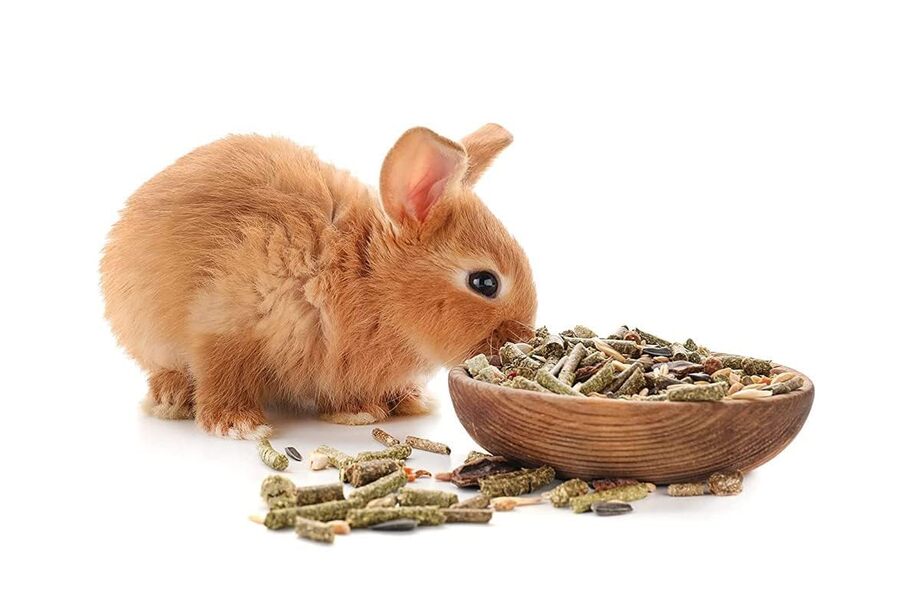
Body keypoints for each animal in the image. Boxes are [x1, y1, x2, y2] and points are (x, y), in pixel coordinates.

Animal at [101, 124, 537, 439]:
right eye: (485, 282)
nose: (523, 338)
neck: (368, 277)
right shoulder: (227, 320)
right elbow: (223, 373)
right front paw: (237, 424)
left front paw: (369, 410)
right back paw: (172, 398)